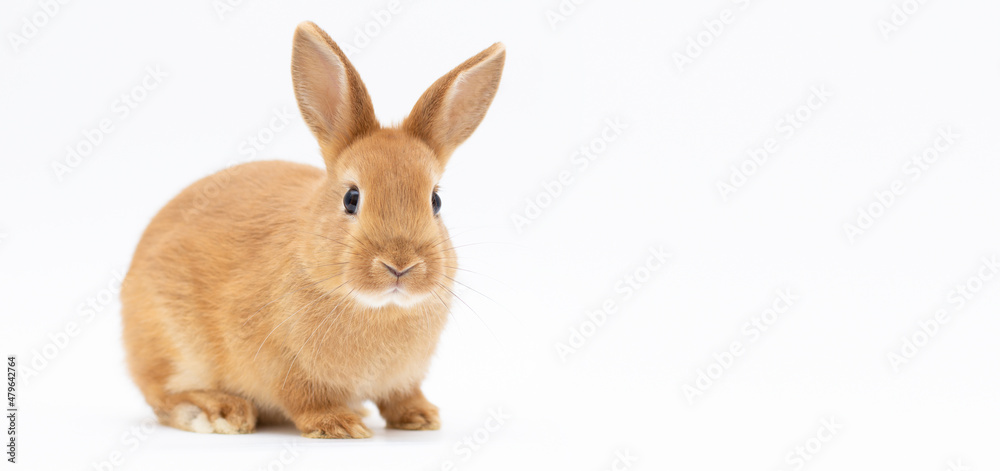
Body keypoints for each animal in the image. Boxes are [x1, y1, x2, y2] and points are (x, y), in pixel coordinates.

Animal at [120, 21, 504, 438]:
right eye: (351, 198)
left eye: (435, 201)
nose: (399, 265)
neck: (378, 307)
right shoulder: (283, 367)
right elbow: (305, 400)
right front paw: (339, 425)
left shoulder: (405, 377)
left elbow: (401, 395)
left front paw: (419, 418)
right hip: (171, 345)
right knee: (163, 395)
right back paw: (219, 411)